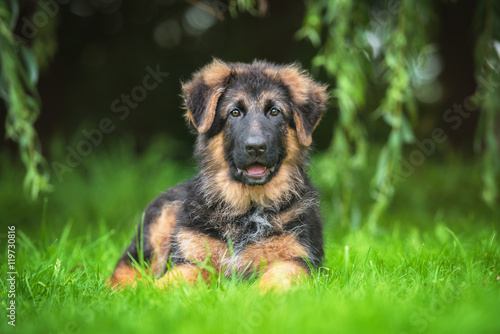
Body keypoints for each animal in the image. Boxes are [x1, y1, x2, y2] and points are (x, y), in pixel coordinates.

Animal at [109, 58, 328, 290]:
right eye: (235, 112)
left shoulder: (295, 260)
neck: (248, 208)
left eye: (275, 112)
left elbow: (277, 279)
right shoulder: (191, 260)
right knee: (124, 273)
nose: (255, 147)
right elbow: (168, 282)